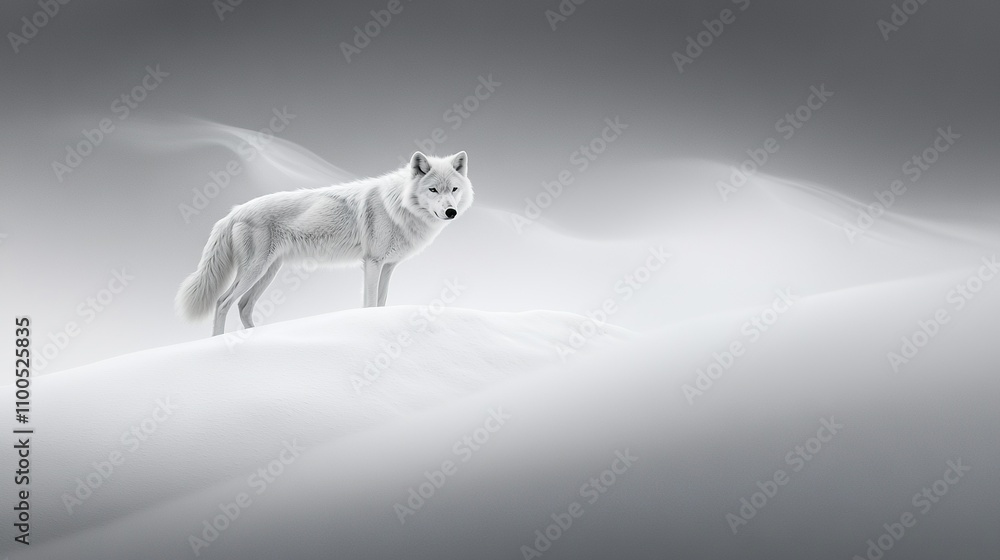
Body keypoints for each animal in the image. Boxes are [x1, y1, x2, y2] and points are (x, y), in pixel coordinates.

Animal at [175, 151, 473, 336]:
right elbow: (369, 303)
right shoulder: (372, 263)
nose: (450, 212)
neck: (397, 206)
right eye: (433, 190)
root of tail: (233, 212)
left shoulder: (388, 266)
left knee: (244, 306)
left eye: (453, 190)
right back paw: (217, 342)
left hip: (268, 272)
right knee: (223, 302)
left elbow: (381, 303)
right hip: (255, 270)